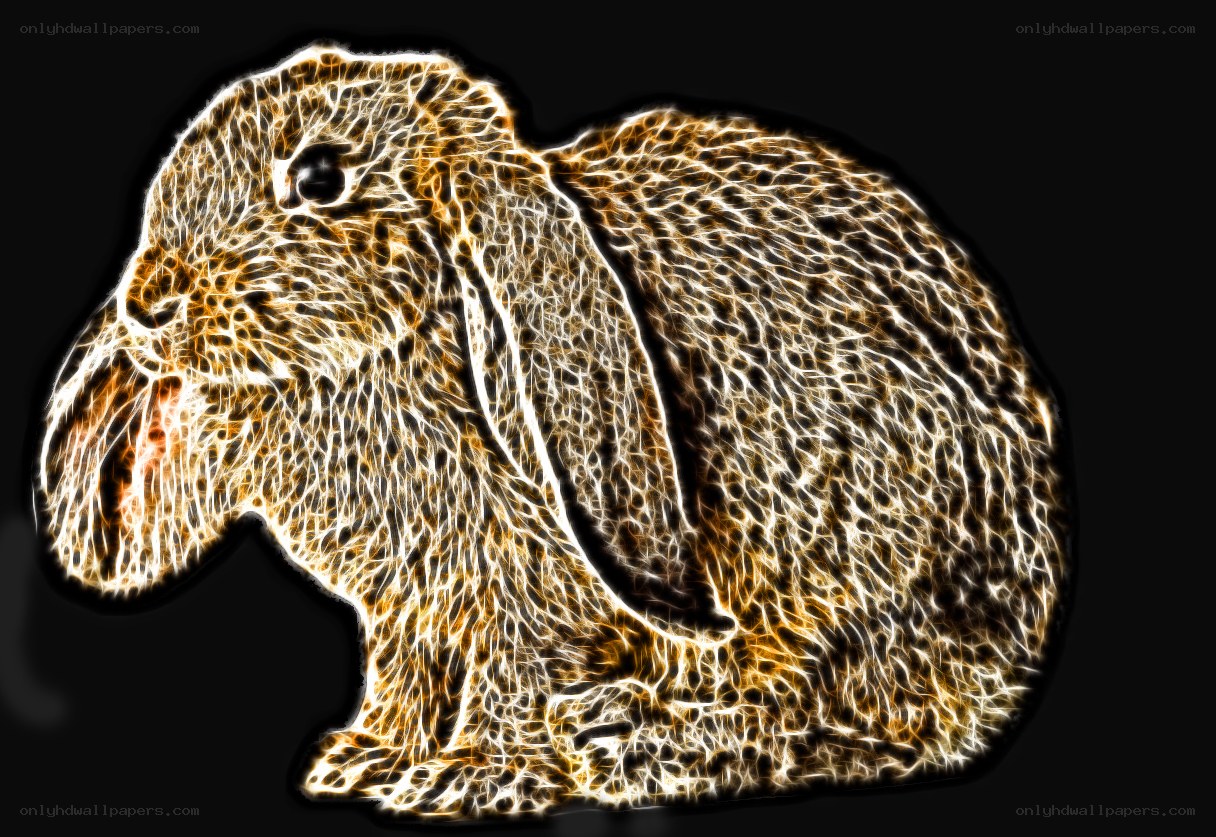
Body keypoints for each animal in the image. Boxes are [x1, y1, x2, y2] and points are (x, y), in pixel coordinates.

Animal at [37, 45, 1067, 818]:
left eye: (321, 176)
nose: (146, 303)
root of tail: (1023, 633)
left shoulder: (531, 591)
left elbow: (514, 669)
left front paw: (468, 778)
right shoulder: (406, 608)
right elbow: (406, 670)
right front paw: (364, 758)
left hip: (842, 540)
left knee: (861, 717)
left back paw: (648, 744)